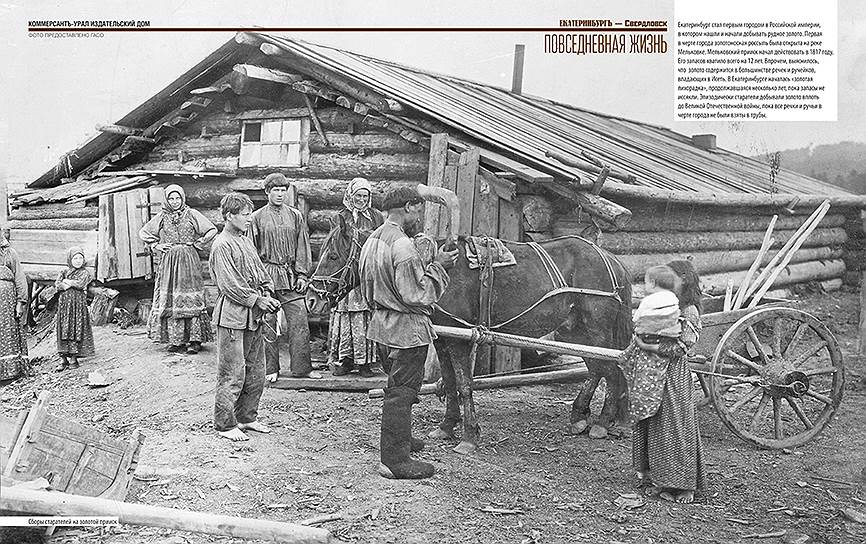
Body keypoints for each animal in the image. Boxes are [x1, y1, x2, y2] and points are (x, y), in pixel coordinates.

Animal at [308, 206, 632, 452]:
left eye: (333, 255)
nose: (312, 297)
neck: (432, 269)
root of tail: (612, 260)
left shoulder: (460, 340)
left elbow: (464, 383)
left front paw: (468, 437)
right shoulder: (443, 338)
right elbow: (451, 382)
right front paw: (446, 427)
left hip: (597, 330)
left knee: (613, 370)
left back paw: (603, 423)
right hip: (577, 332)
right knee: (598, 370)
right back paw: (583, 417)